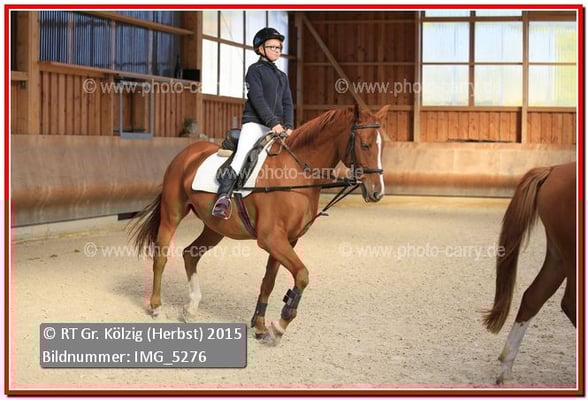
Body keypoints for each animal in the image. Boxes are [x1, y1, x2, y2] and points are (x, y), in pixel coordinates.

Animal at [129, 104, 388, 344]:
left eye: (381, 146)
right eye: (365, 145)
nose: (377, 192)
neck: (296, 172)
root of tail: (186, 153)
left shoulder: (287, 240)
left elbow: (268, 282)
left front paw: (261, 326)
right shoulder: (271, 239)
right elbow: (302, 275)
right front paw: (280, 325)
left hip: (215, 228)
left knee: (190, 254)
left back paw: (191, 308)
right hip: (172, 214)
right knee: (161, 256)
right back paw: (156, 306)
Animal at [483, 162, 577, 384]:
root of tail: (554, 169)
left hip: (558, 257)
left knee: (533, 297)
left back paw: (506, 368)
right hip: (571, 253)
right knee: (569, 302)